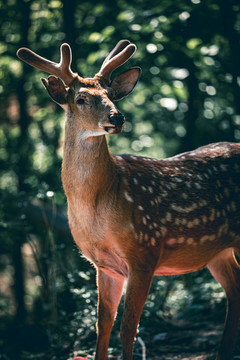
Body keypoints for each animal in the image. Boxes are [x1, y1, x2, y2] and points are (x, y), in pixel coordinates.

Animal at [17, 39, 240, 360]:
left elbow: (127, 328)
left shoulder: (144, 252)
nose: (117, 117)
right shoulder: (105, 266)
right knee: (235, 290)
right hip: (218, 250)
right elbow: (102, 327)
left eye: (111, 96)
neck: (99, 204)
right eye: (81, 99)